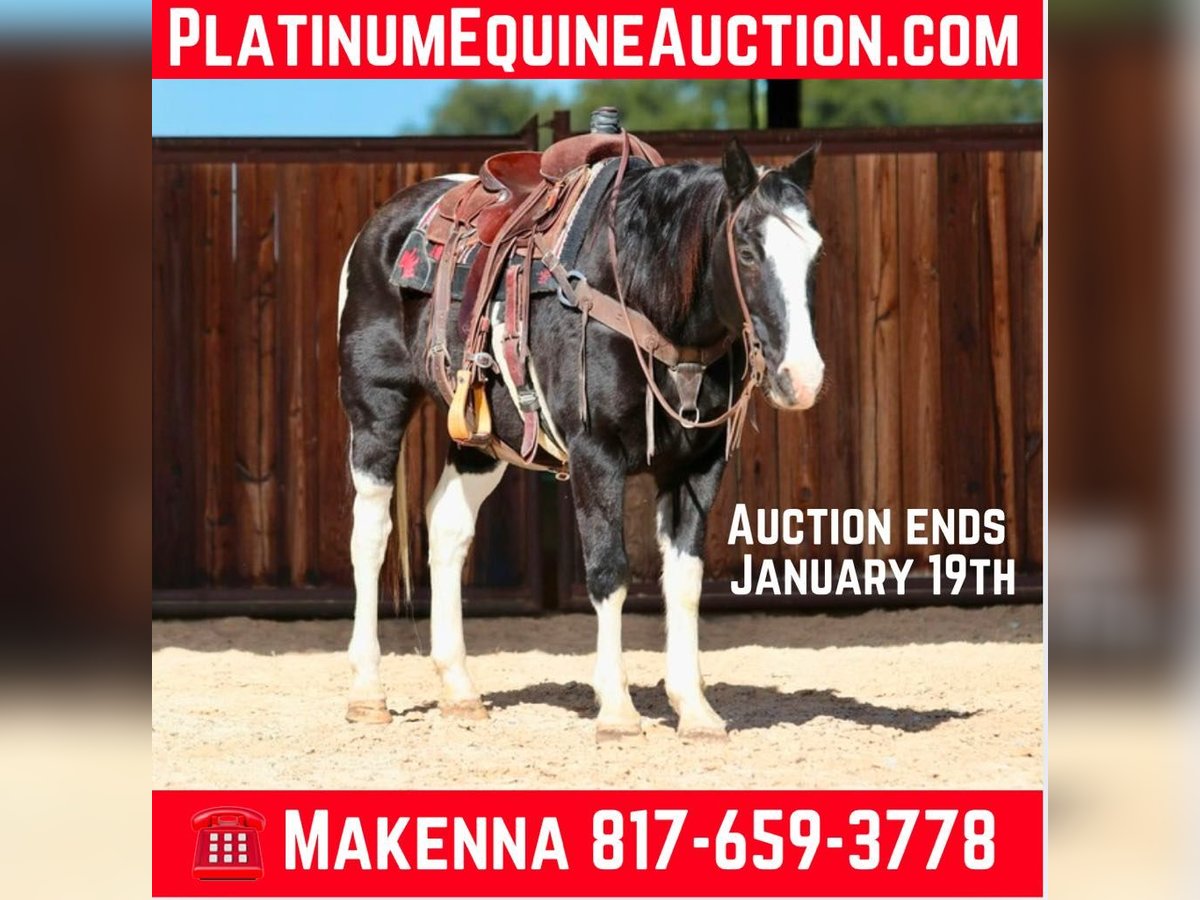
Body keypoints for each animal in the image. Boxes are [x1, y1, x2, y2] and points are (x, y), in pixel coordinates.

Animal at [337, 137, 825, 740]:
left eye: (814, 254)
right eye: (749, 251)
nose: (803, 377)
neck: (639, 289)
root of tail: (382, 225)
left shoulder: (698, 466)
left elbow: (684, 580)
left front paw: (694, 709)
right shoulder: (596, 456)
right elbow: (608, 572)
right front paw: (616, 709)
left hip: (480, 438)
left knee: (447, 526)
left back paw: (460, 690)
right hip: (376, 409)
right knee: (371, 534)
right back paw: (367, 692)